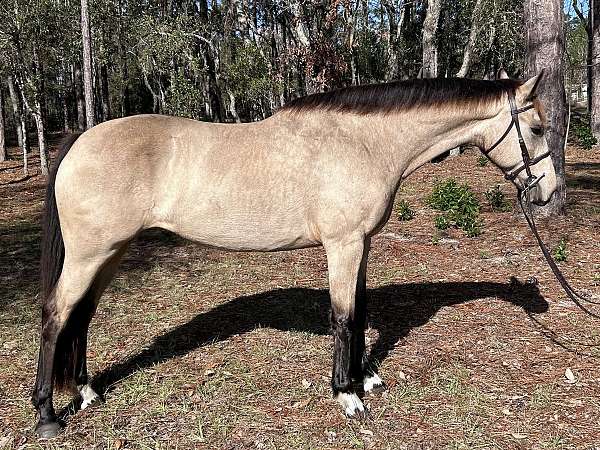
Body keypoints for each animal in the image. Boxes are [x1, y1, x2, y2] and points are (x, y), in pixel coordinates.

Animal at [34, 72, 556, 438]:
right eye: (535, 127)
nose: (548, 191)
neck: (363, 143)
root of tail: (81, 139)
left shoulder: (361, 244)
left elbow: (359, 310)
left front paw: (365, 377)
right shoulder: (343, 245)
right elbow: (343, 316)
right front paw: (347, 395)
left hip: (111, 252)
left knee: (82, 315)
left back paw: (87, 391)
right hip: (90, 255)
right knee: (57, 315)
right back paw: (47, 415)